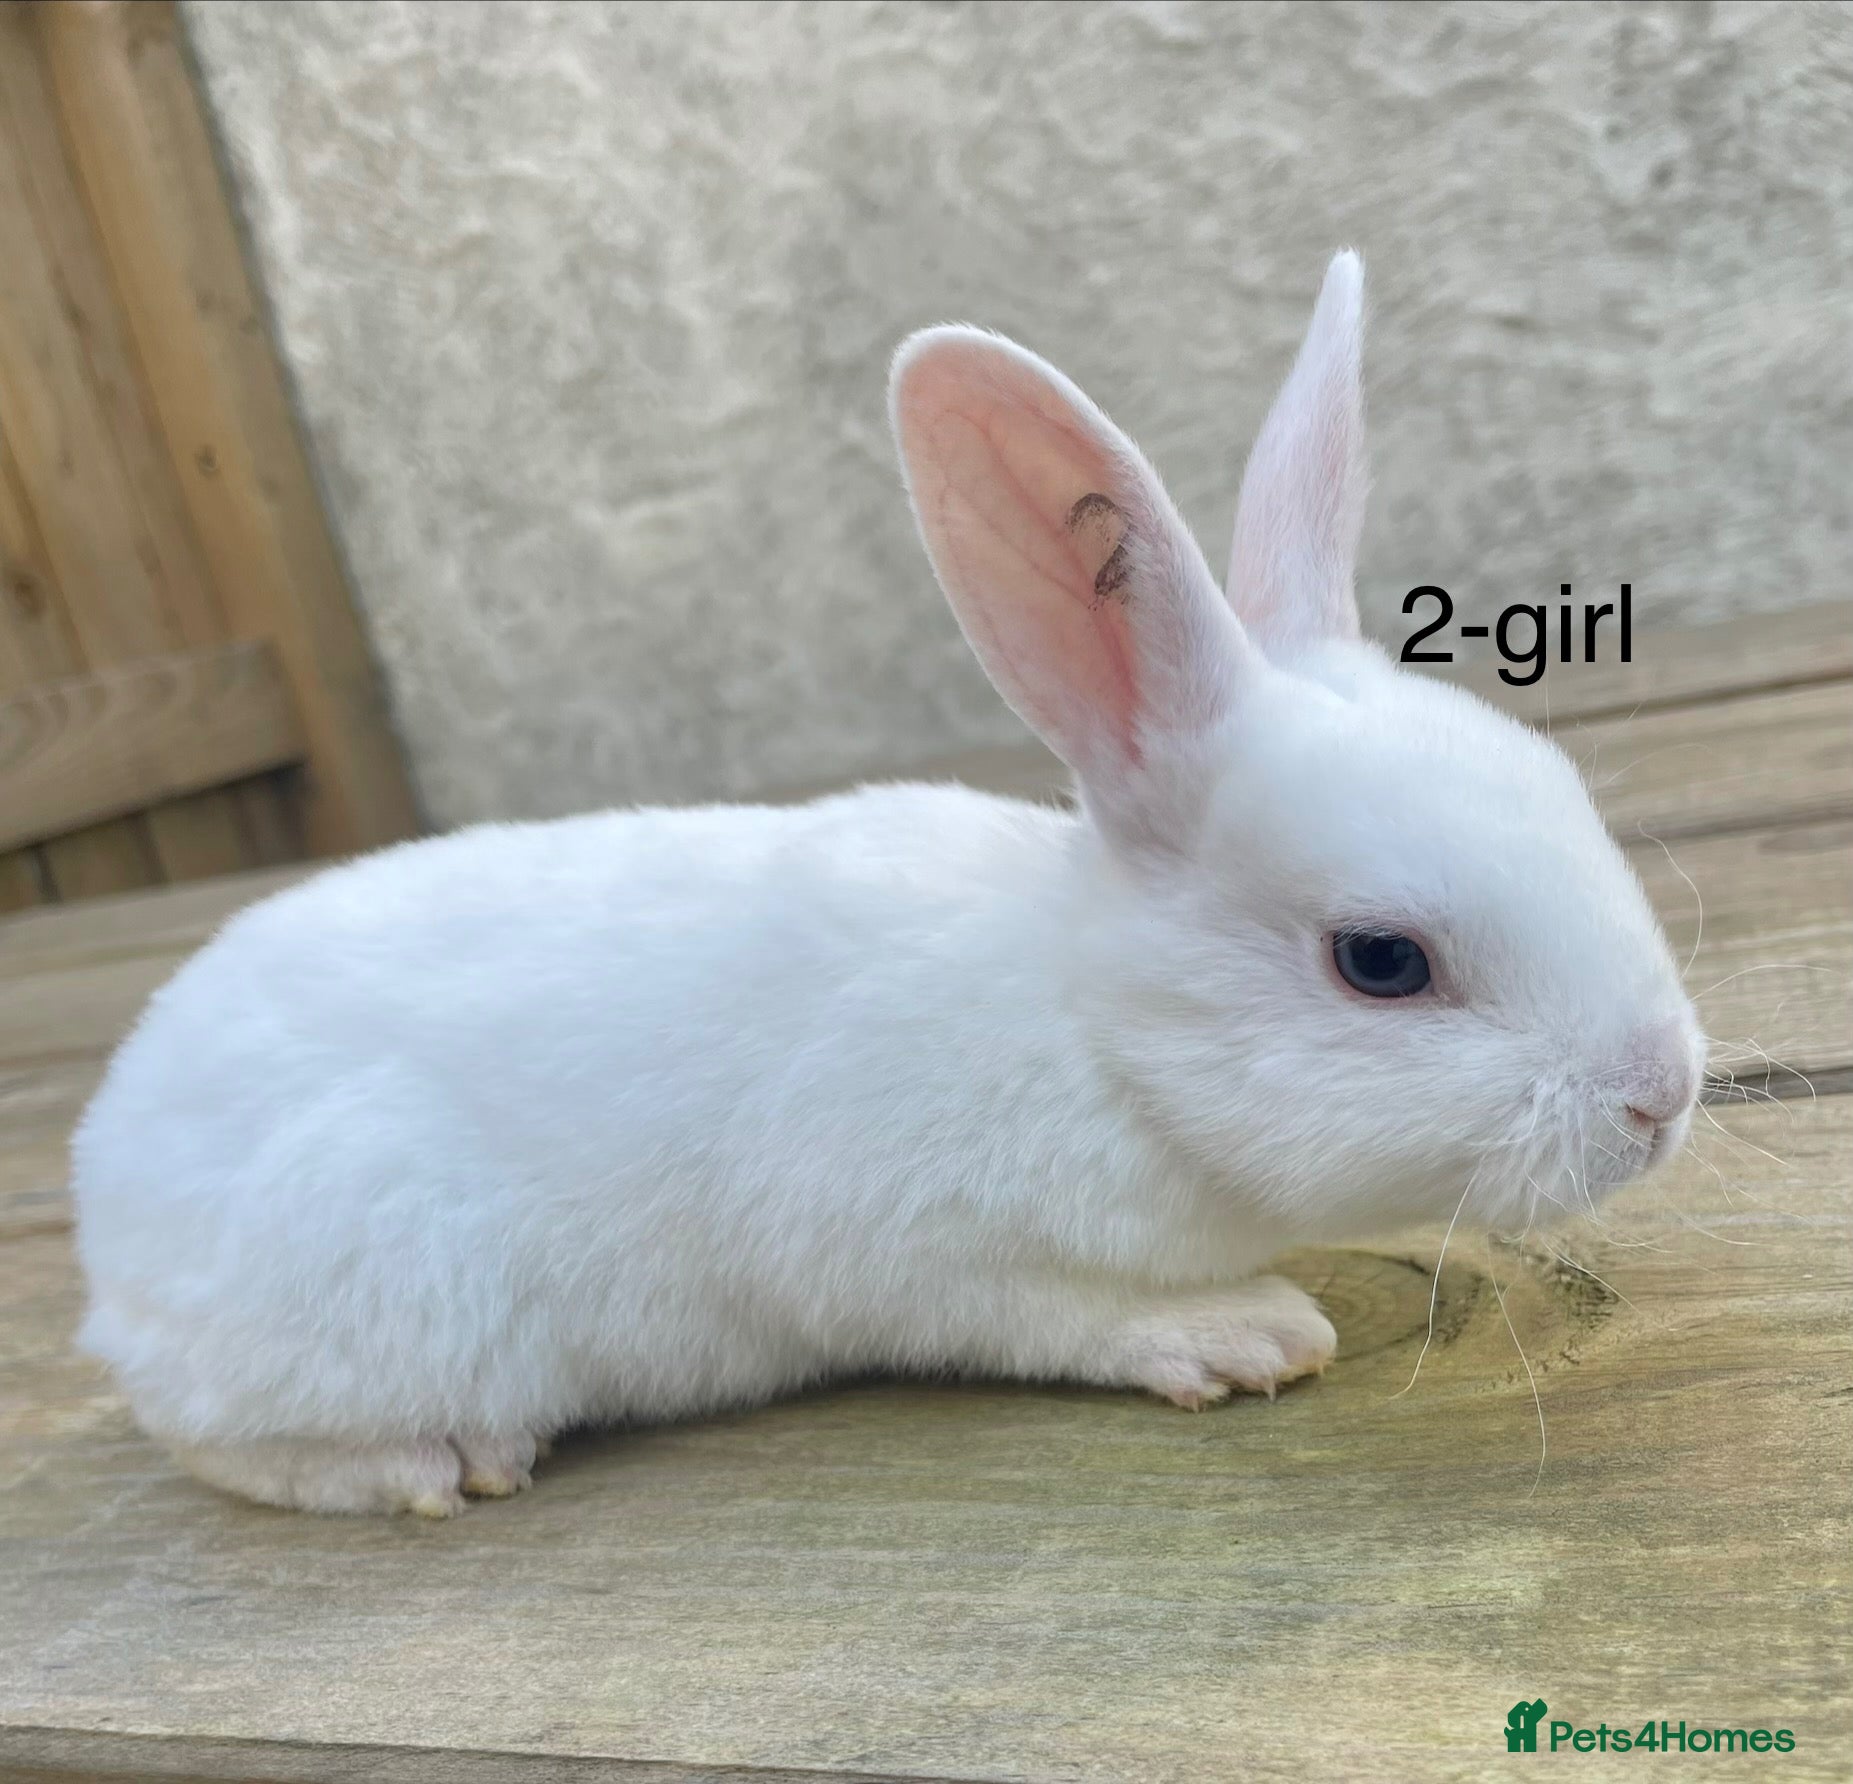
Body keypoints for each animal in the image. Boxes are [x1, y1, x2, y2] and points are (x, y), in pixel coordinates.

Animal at [71, 253, 1705, 1515]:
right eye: (1380, 960)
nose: (1660, 1096)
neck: (1098, 1035)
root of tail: (106, 1189)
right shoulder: (917, 1248)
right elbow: (1051, 1317)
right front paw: (1236, 1336)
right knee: (213, 1444)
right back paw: (427, 1463)